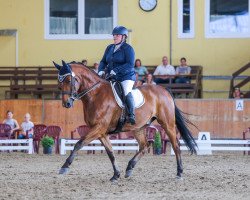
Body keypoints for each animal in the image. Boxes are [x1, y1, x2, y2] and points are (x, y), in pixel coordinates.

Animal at [53, 60, 197, 181]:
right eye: (59, 83)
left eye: (68, 80)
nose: (66, 103)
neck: (95, 94)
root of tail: (164, 90)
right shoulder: (101, 132)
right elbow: (110, 152)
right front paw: (116, 175)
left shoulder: (98, 128)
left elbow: (79, 143)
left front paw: (64, 167)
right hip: (138, 128)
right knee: (145, 146)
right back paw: (129, 168)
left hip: (167, 124)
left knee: (176, 145)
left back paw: (179, 172)